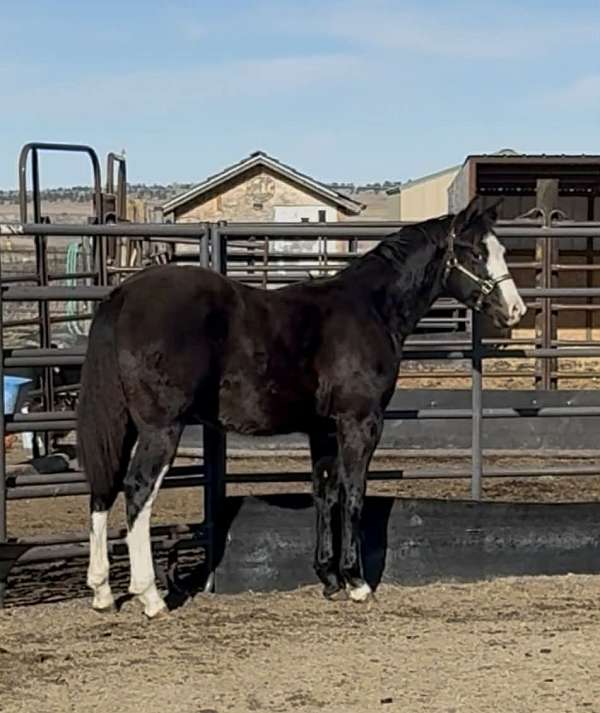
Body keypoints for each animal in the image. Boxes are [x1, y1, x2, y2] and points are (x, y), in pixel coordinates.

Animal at [77, 197, 526, 618]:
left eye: (500, 249)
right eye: (475, 252)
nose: (516, 310)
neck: (371, 309)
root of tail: (124, 296)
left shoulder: (323, 429)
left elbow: (325, 493)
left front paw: (328, 577)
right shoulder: (360, 422)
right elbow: (353, 494)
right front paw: (357, 582)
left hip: (124, 424)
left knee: (104, 487)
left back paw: (101, 593)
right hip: (160, 428)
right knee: (137, 490)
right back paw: (151, 597)